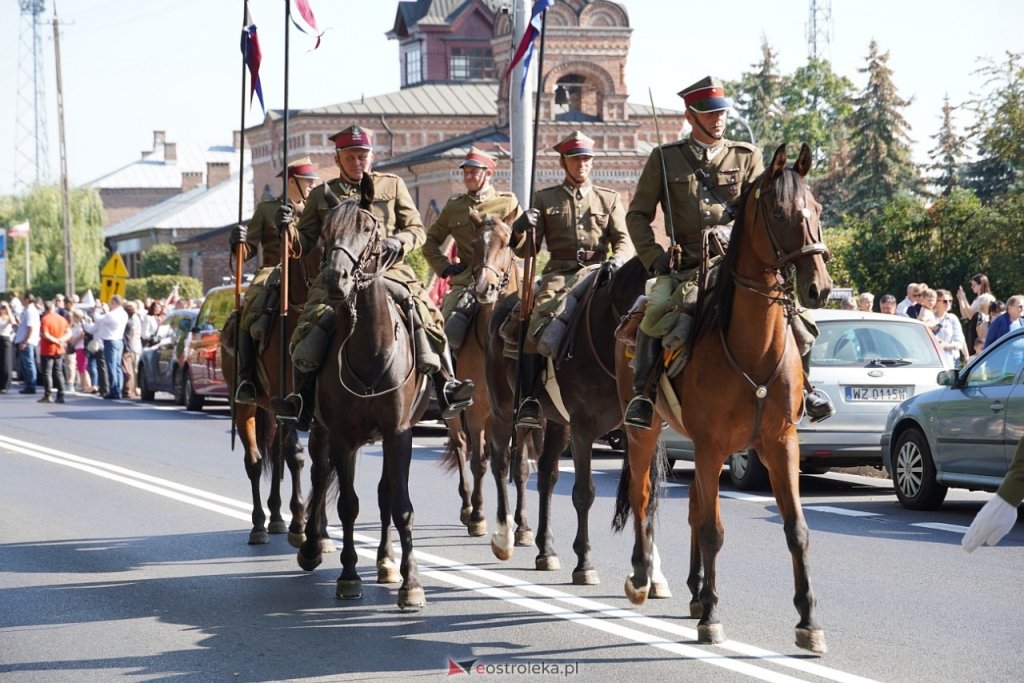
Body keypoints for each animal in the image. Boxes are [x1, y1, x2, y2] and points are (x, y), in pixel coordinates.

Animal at [294, 176, 430, 610]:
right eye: (326, 230)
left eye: (368, 228)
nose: (335, 279)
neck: (371, 348)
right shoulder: (342, 435)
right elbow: (348, 505)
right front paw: (349, 576)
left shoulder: (398, 433)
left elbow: (399, 504)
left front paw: (410, 582)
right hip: (319, 430)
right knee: (320, 477)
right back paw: (311, 546)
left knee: (384, 494)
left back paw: (387, 562)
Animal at [438, 208, 540, 544]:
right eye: (473, 243)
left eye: (508, 242)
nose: (484, 288)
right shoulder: (476, 410)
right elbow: (479, 461)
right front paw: (480, 517)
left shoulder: (520, 412)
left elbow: (520, 467)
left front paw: (523, 526)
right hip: (456, 412)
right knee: (461, 447)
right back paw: (468, 507)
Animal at [614, 141, 831, 655]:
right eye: (779, 211)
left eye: (817, 209)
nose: (820, 287)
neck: (753, 347)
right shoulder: (712, 446)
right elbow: (714, 530)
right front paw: (713, 616)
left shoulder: (781, 444)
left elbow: (797, 530)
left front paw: (809, 621)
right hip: (643, 432)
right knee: (643, 495)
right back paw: (643, 578)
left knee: (694, 503)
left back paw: (695, 591)